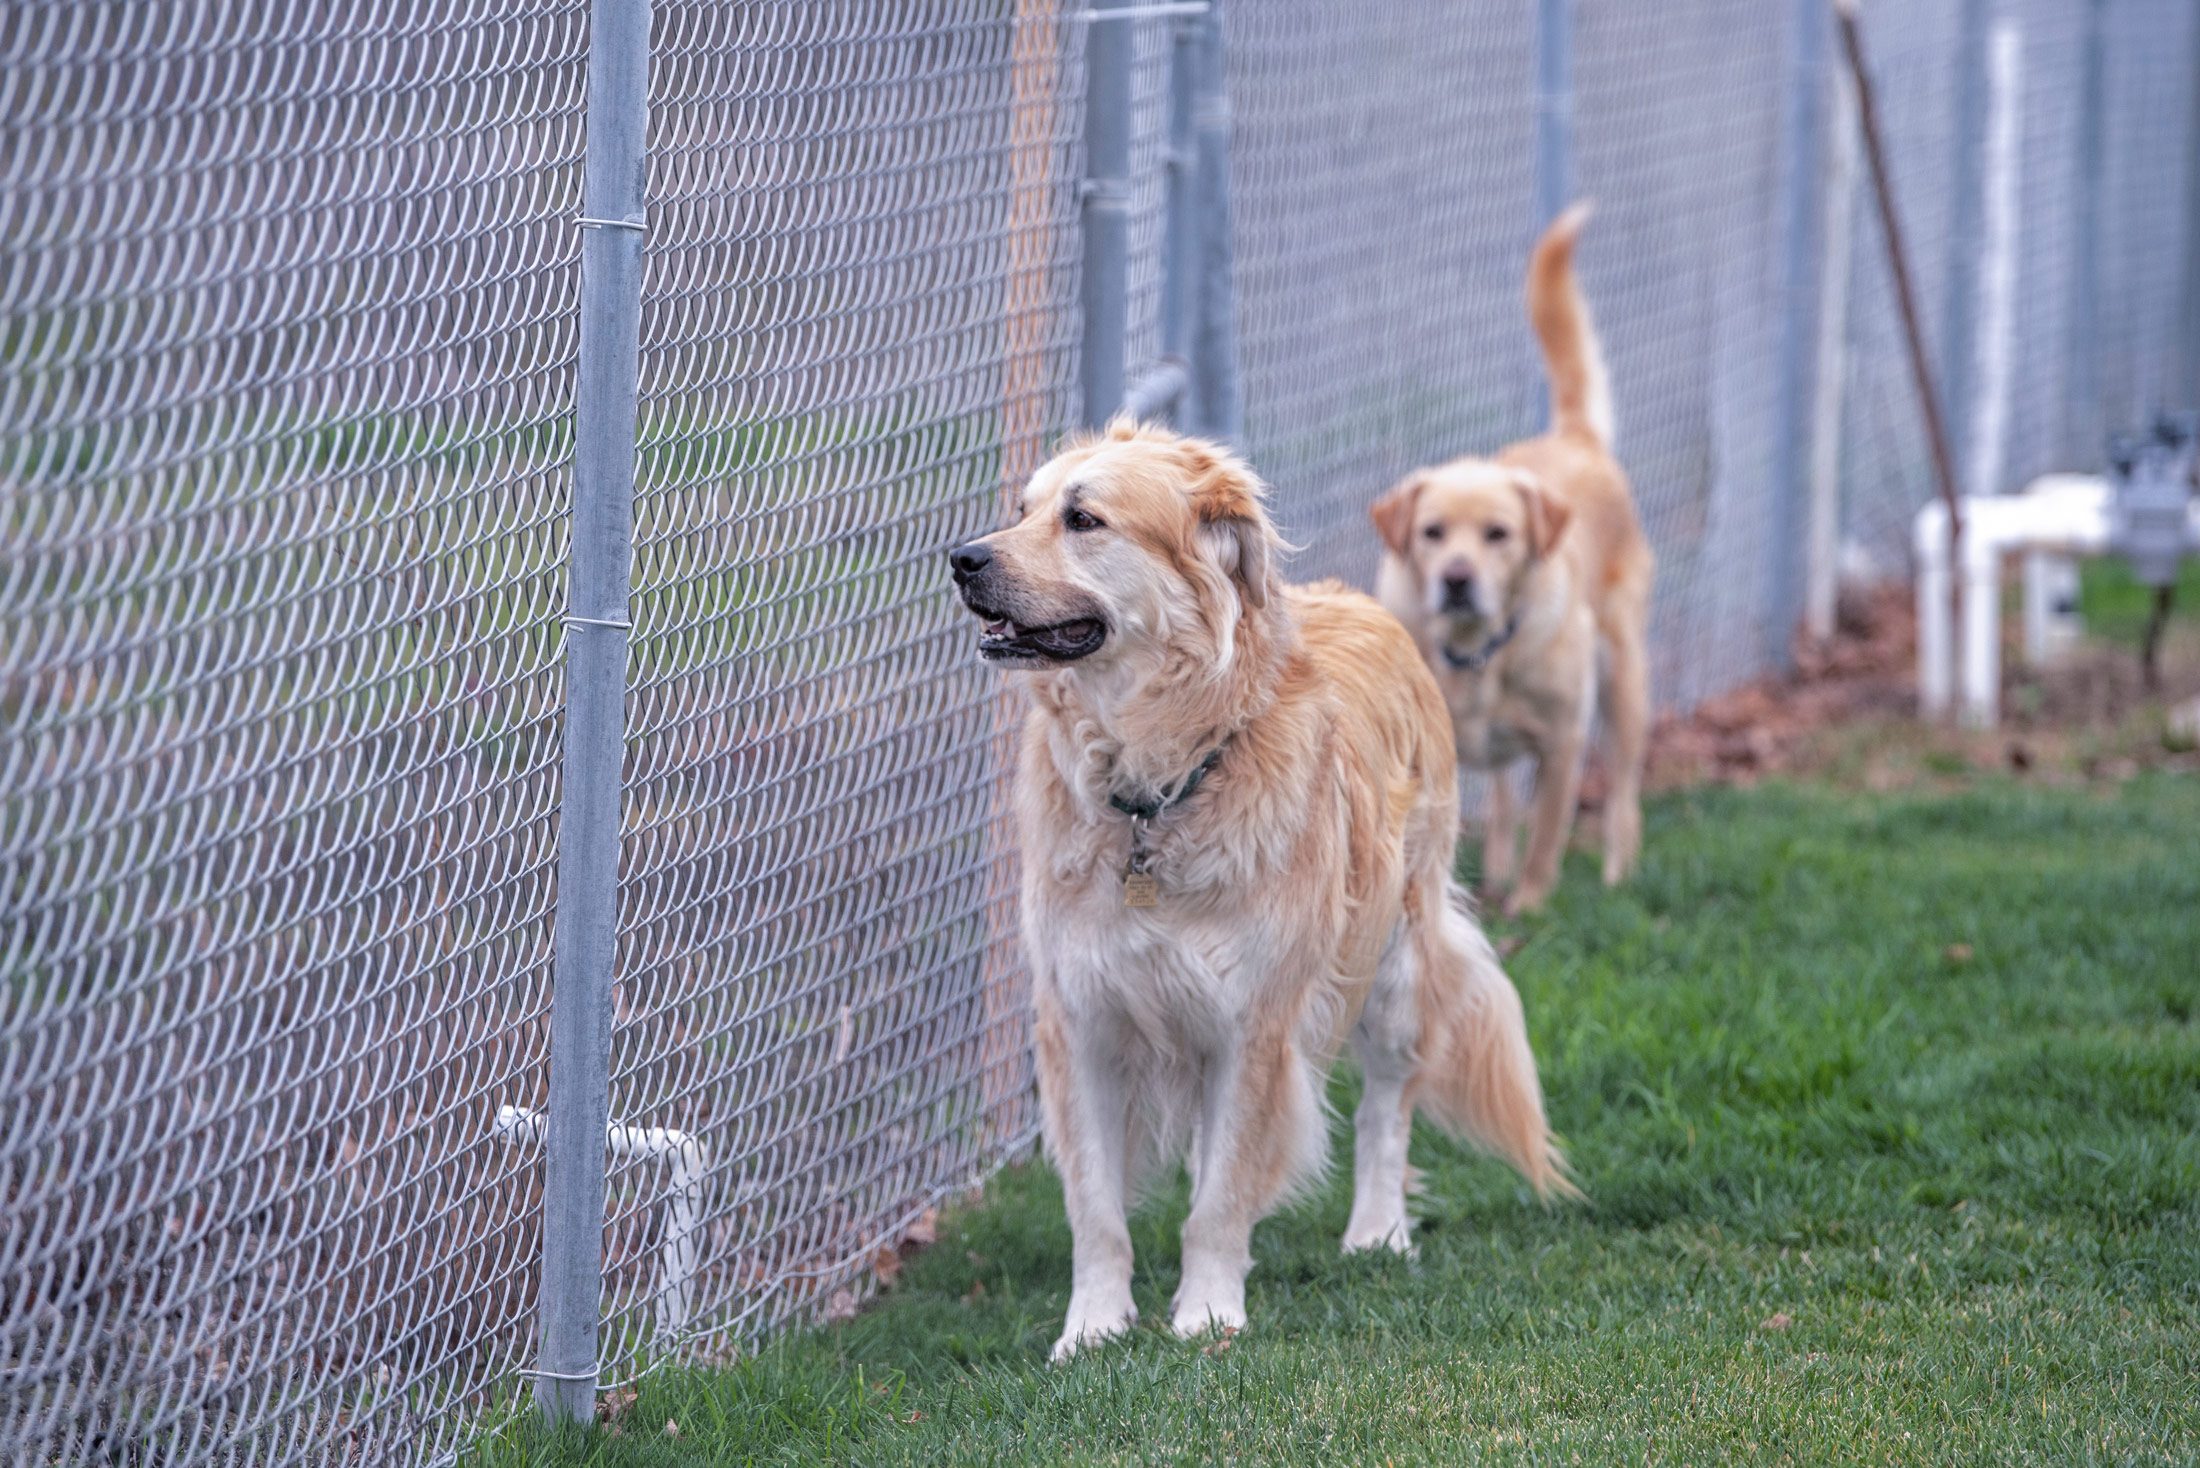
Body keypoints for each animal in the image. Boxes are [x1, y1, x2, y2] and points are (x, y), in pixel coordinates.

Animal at [948, 421, 1572, 1361]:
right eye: (1021, 510)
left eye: (1083, 519)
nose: (962, 559)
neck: (1157, 790)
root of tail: (1364, 600)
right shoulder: (1082, 1022)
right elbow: (1096, 1207)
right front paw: (1093, 1328)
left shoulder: (1253, 1025)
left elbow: (1222, 1196)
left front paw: (1208, 1314)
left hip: (1396, 965)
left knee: (1387, 1108)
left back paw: (1377, 1234)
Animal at [1372, 202, 1654, 914]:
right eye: (1432, 533)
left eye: (1498, 534)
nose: (1456, 578)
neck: (1474, 654)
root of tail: (1575, 438)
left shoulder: (1562, 742)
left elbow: (1548, 835)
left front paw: (1529, 906)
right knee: (1500, 798)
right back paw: (1495, 869)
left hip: (1624, 682)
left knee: (1622, 791)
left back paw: (1617, 870)